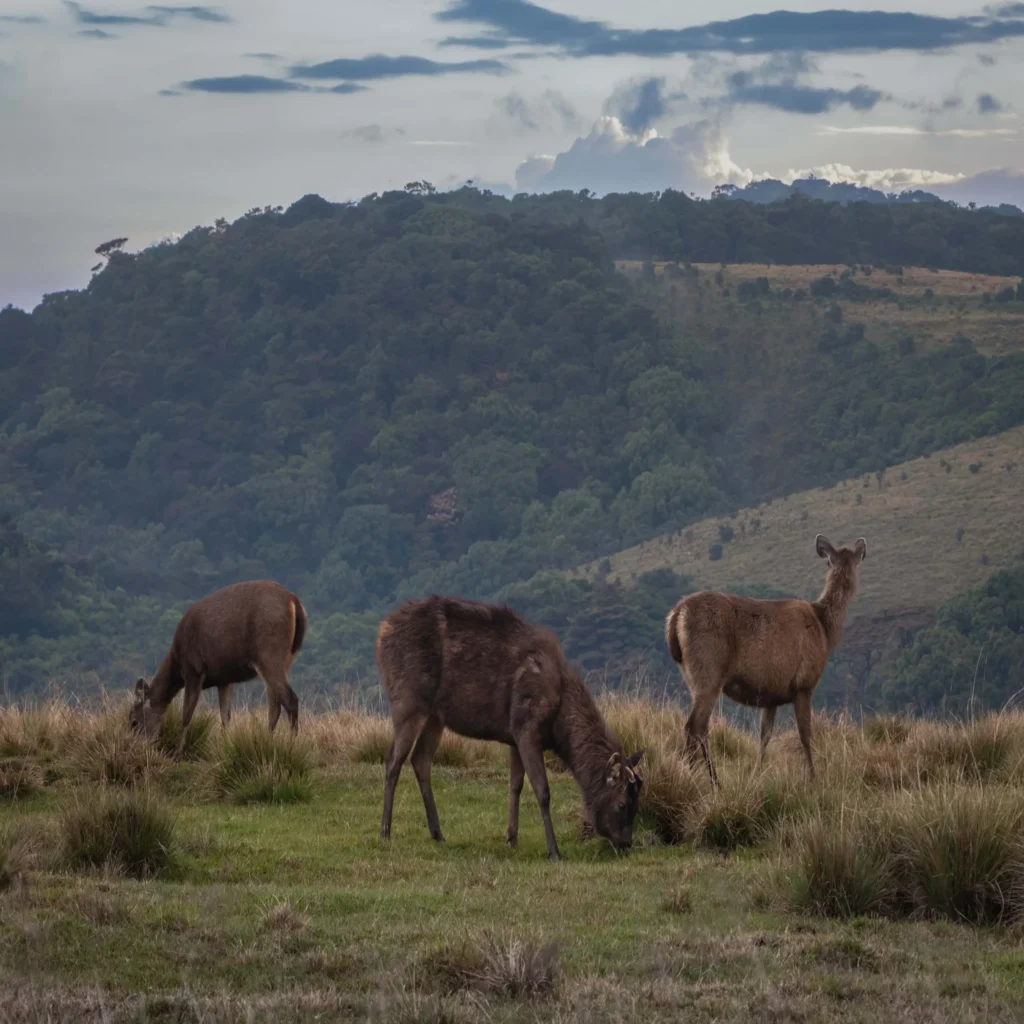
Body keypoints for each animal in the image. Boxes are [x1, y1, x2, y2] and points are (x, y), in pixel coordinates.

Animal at [128, 581, 305, 757]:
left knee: (290, 699)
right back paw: (268, 742)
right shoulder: (224, 679)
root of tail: (294, 601)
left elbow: (187, 715)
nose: (135, 747)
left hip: (268, 654)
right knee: (275, 705)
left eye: (134, 722)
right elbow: (225, 716)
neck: (177, 664)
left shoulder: (194, 669)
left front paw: (178, 753)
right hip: (286, 658)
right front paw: (225, 748)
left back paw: (291, 747)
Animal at [376, 598, 647, 860]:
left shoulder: (514, 736)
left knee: (420, 758)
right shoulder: (527, 726)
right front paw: (554, 851)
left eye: (638, 806)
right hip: (408, 698)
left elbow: (515, 785)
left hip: (435, 715)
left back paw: (438, 833)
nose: (626, 843)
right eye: (622, 804)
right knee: (393, 759)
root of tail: (382, 631)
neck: (558, 725)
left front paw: (512, 839)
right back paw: (385, 831)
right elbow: (542, 790)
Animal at [663, 536, 864, 782]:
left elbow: (765, 735)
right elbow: (805, 734)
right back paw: (705, 778)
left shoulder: (771, 695)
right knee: (695, 726)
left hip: (691, 674)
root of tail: (676, 615)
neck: (825, 630)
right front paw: (812, 777)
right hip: (709, 670)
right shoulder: (804, 684)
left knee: (698, 726)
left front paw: (756, 773)